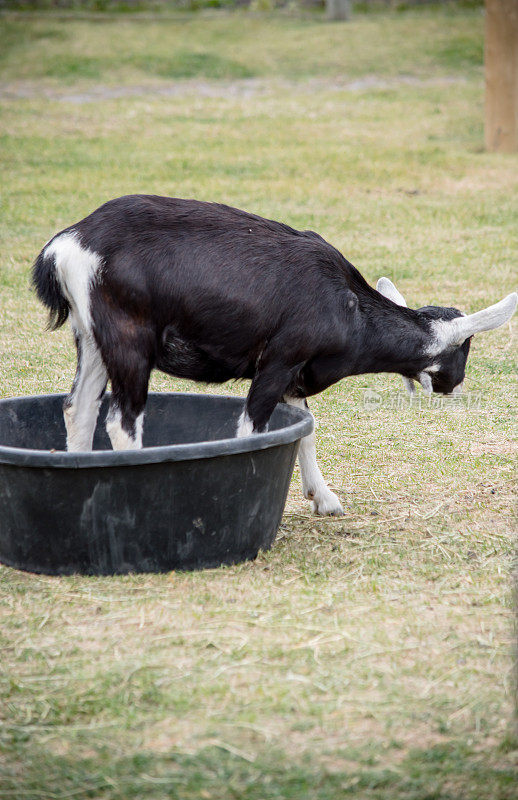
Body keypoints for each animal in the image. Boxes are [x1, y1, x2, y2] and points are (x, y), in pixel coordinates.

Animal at [33, 197, 518, 516]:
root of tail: (66, 246)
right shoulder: (279, 360)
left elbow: (305, 427)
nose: (456, 387)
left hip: (91, 338)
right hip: (128, 339)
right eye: (463, 353)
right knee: (122, 420)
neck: (349, 307)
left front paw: (323, 498)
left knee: (79, 407)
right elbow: (253, 430)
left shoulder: (294, 375)